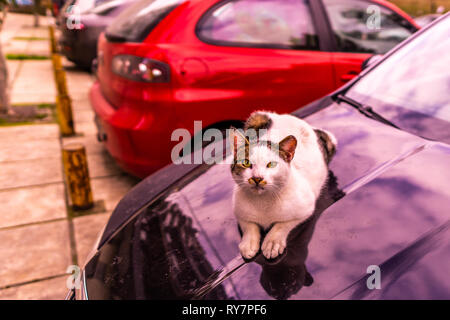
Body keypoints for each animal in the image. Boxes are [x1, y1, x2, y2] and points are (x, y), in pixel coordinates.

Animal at [230, 111, 336, 258]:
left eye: (271, 164)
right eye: (245, 163)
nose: (257, 178)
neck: (263, 201)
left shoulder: (306, 208)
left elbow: (282, 224)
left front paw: (272, 242)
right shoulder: (238, 210)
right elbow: (248, 225)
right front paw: (248, 242)